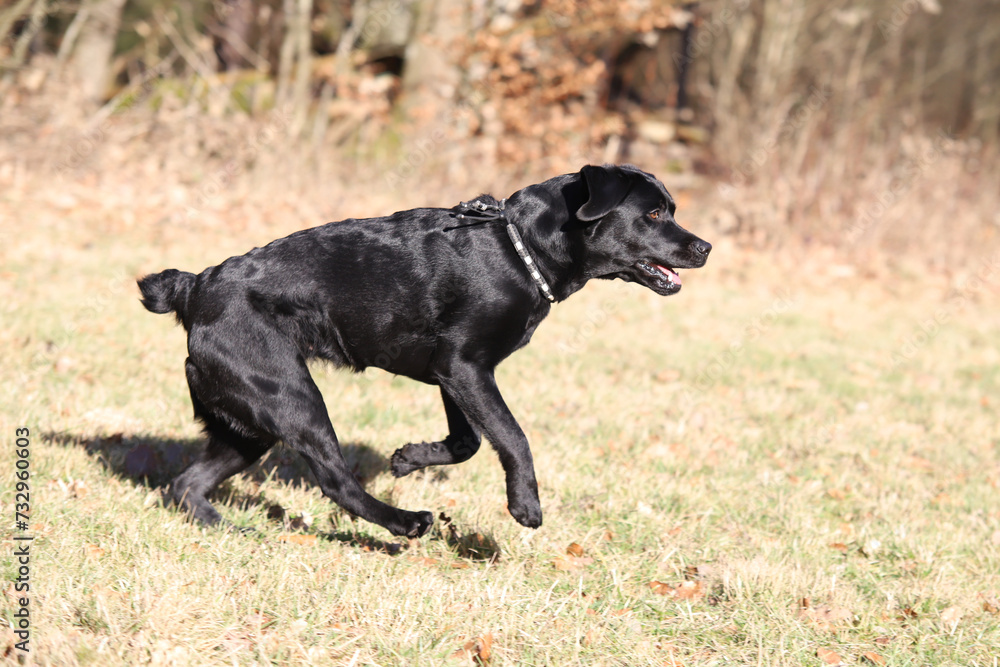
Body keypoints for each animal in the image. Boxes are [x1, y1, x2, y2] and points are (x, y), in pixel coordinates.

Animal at [139, 166, 712, 536]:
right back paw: (405, 523)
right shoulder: (466, 367)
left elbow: (468, 441)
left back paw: (225, 527)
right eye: (654, 213)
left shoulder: (453, 374)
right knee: (335, 481)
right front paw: (525, 505)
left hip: (248, 421)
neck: (519, 249)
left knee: (187, 483)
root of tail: (195, 287)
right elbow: (513, 436)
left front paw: (409, 458)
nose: (705, 246)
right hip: (291, 397)